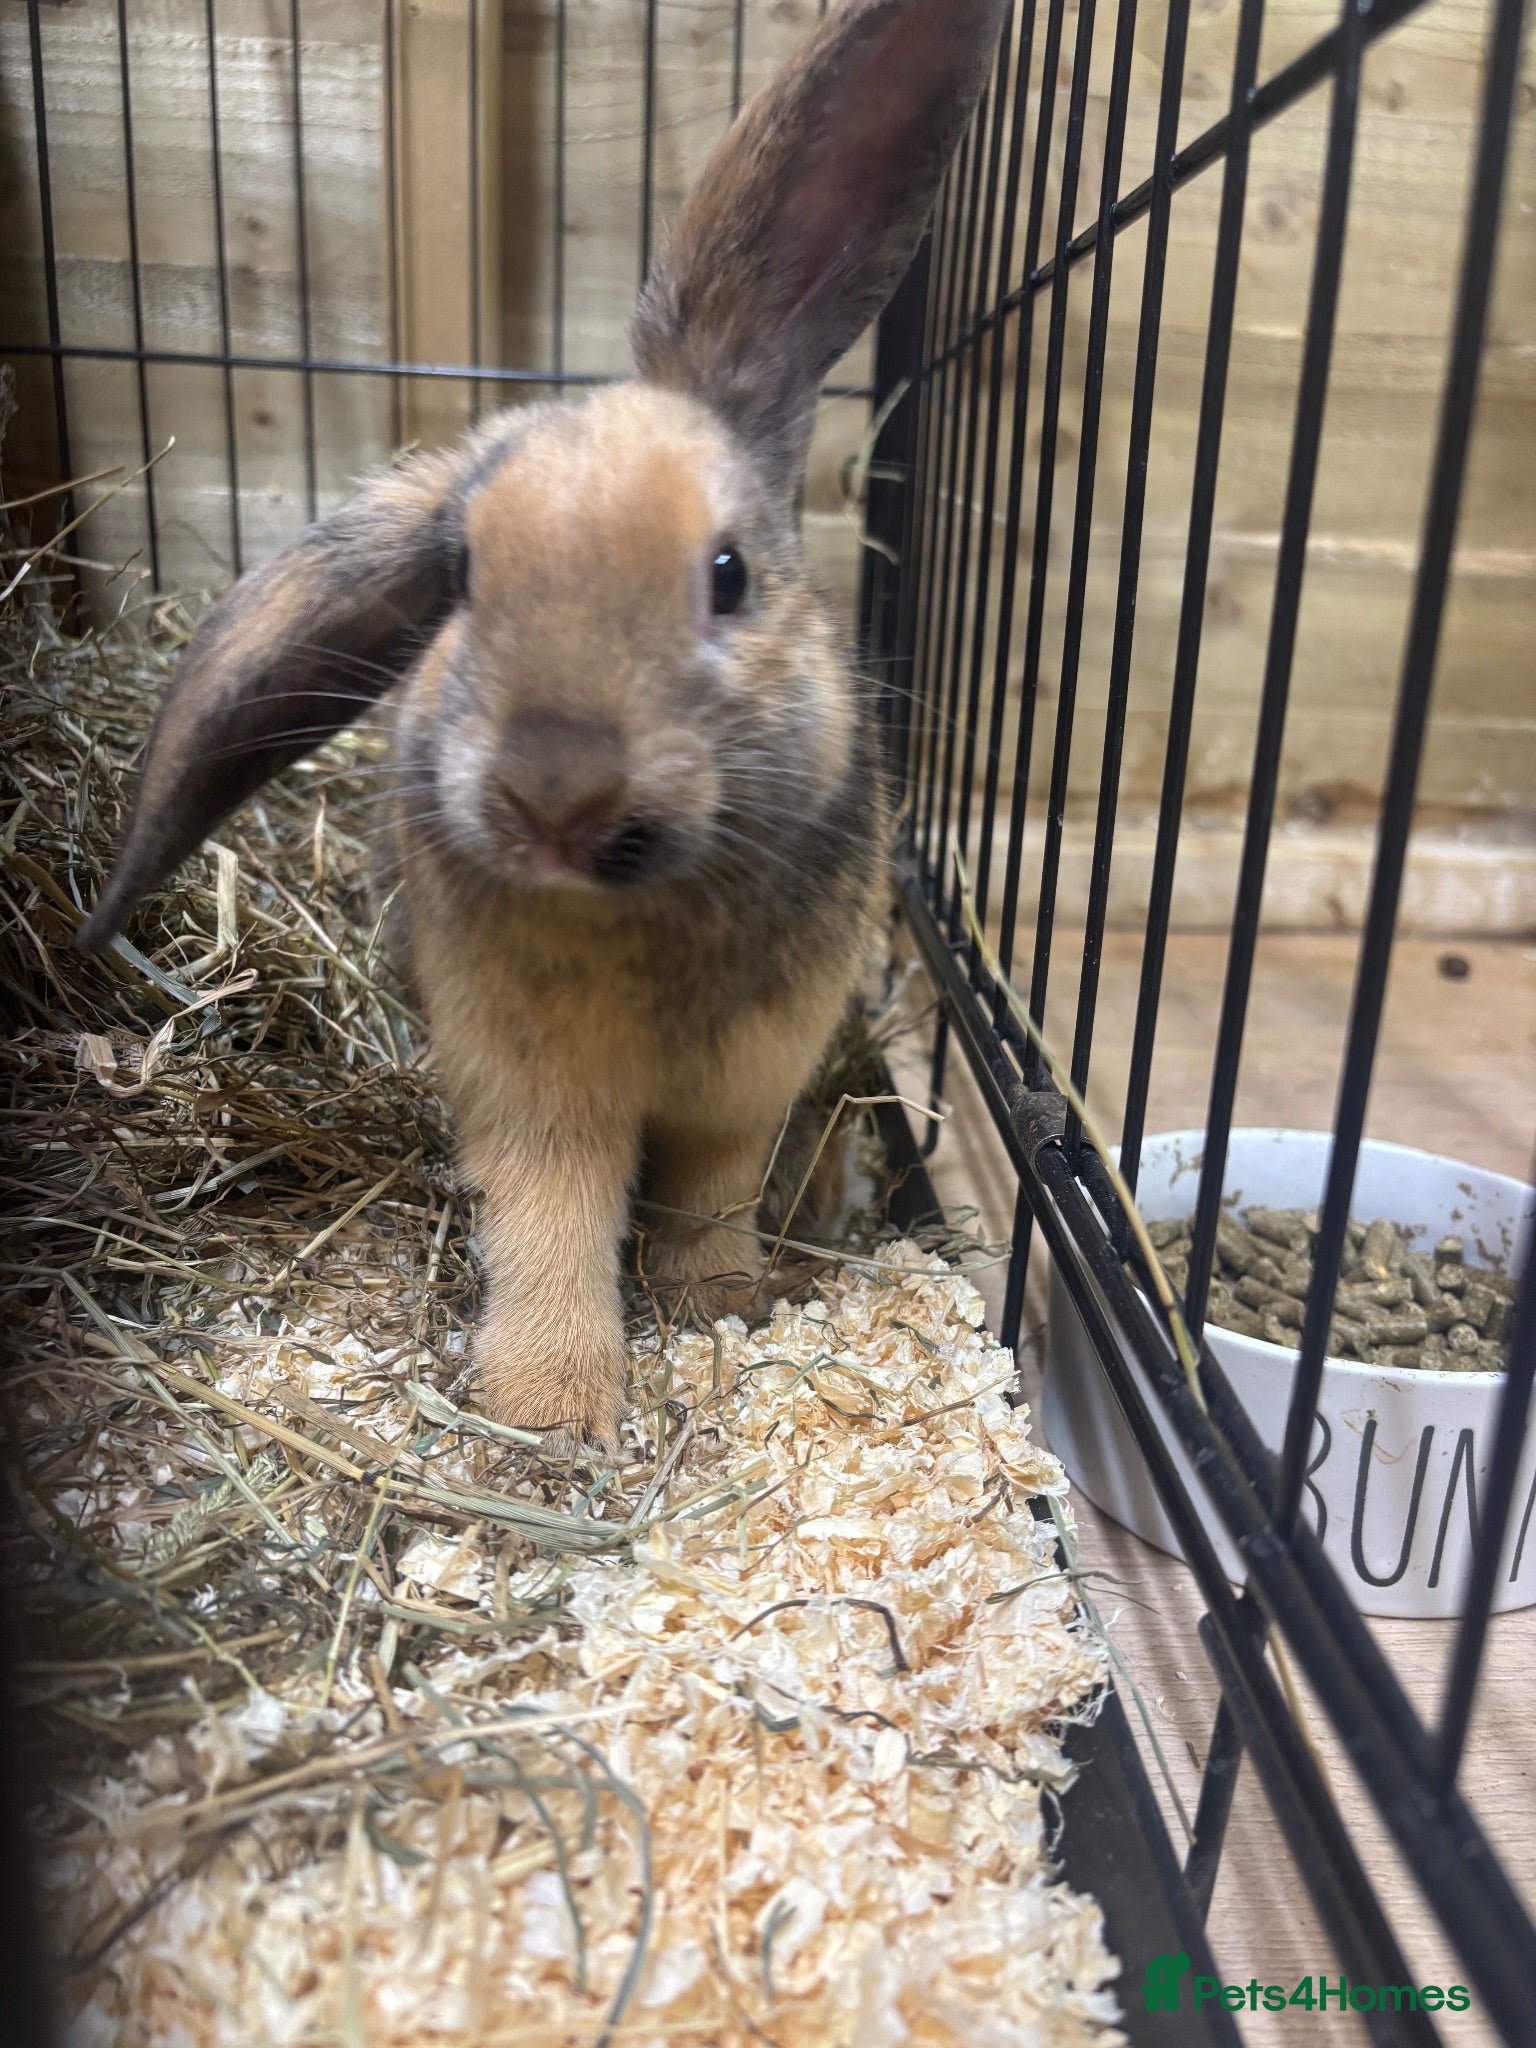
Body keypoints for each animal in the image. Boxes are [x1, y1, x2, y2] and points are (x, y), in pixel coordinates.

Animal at [77, 0, 1009, 1450]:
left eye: (729, 573)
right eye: (461, 575)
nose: (556, 796)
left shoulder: (749, 1083)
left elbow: (706, 1196)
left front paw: (721, 1304)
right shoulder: (529, 1096)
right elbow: (553, 1226)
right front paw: (552, 1407)